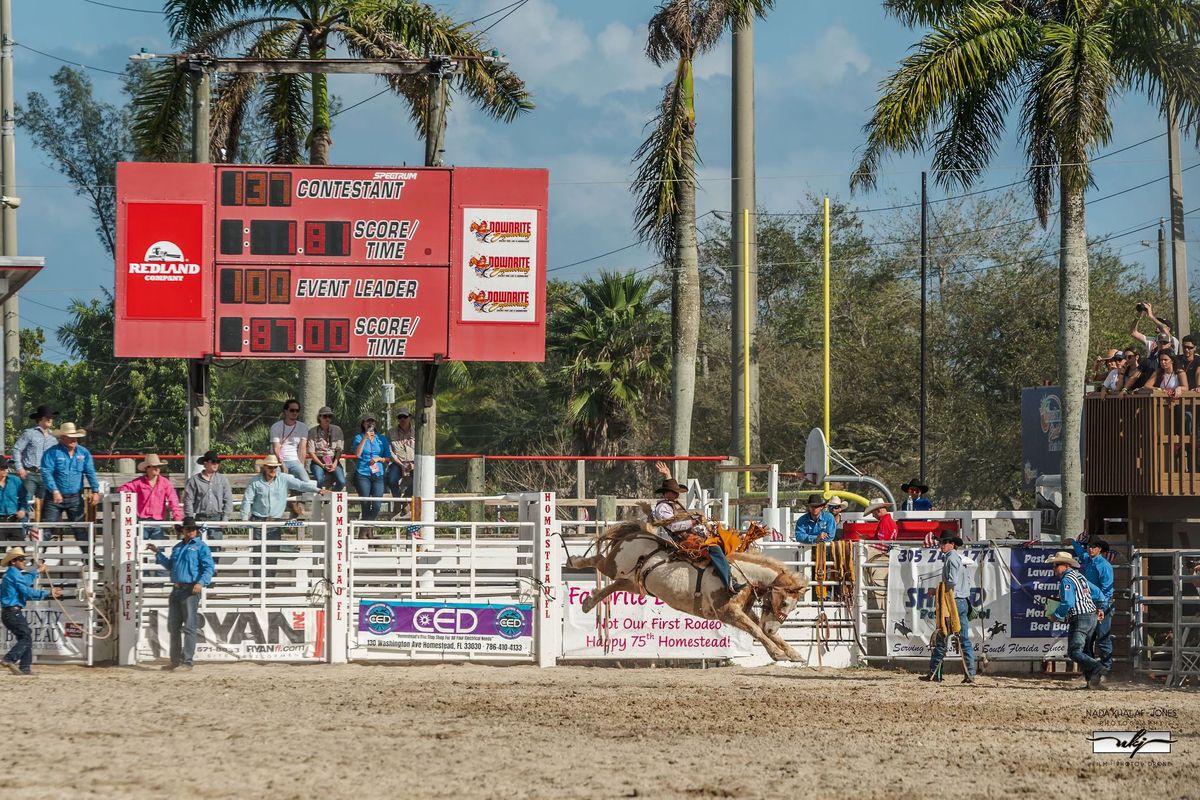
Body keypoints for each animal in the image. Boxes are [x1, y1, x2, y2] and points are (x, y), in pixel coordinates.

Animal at [566, 515, 811, 662]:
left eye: (793, 607)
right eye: (785, 602)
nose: (773, 627)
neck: (740, 576)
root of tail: (637, 533)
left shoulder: (743, 611)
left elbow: (758, 627)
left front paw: (793, 653)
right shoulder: (727, 612)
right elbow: (756, 630)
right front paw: (777, 653)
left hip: (633, 582)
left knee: (614, 586)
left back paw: (588, 603)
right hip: (616, 566)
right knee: (598, 561)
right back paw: (575, 561)